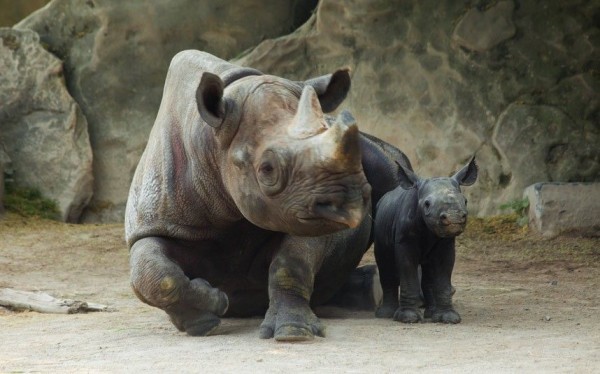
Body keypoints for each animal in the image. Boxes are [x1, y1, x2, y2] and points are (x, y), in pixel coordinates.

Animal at [126, 50, 408, 342]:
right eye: (268, 169)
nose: (349, 204)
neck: (211, 143)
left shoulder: (307, 212)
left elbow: (290, 263)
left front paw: (293, 331)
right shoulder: (155, 224)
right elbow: (154, 275)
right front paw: (206, 316)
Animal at [376, 156, 478, 322]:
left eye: (465, 201)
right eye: (427, 204)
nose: (454, 218)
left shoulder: (446, 242)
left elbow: (443, 272)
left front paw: (449, 318)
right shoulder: (405, 240)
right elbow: (407, 269)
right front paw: (408, 318)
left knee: (429, 272)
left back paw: (432, 314)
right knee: (385, 263)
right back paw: (385, 315)